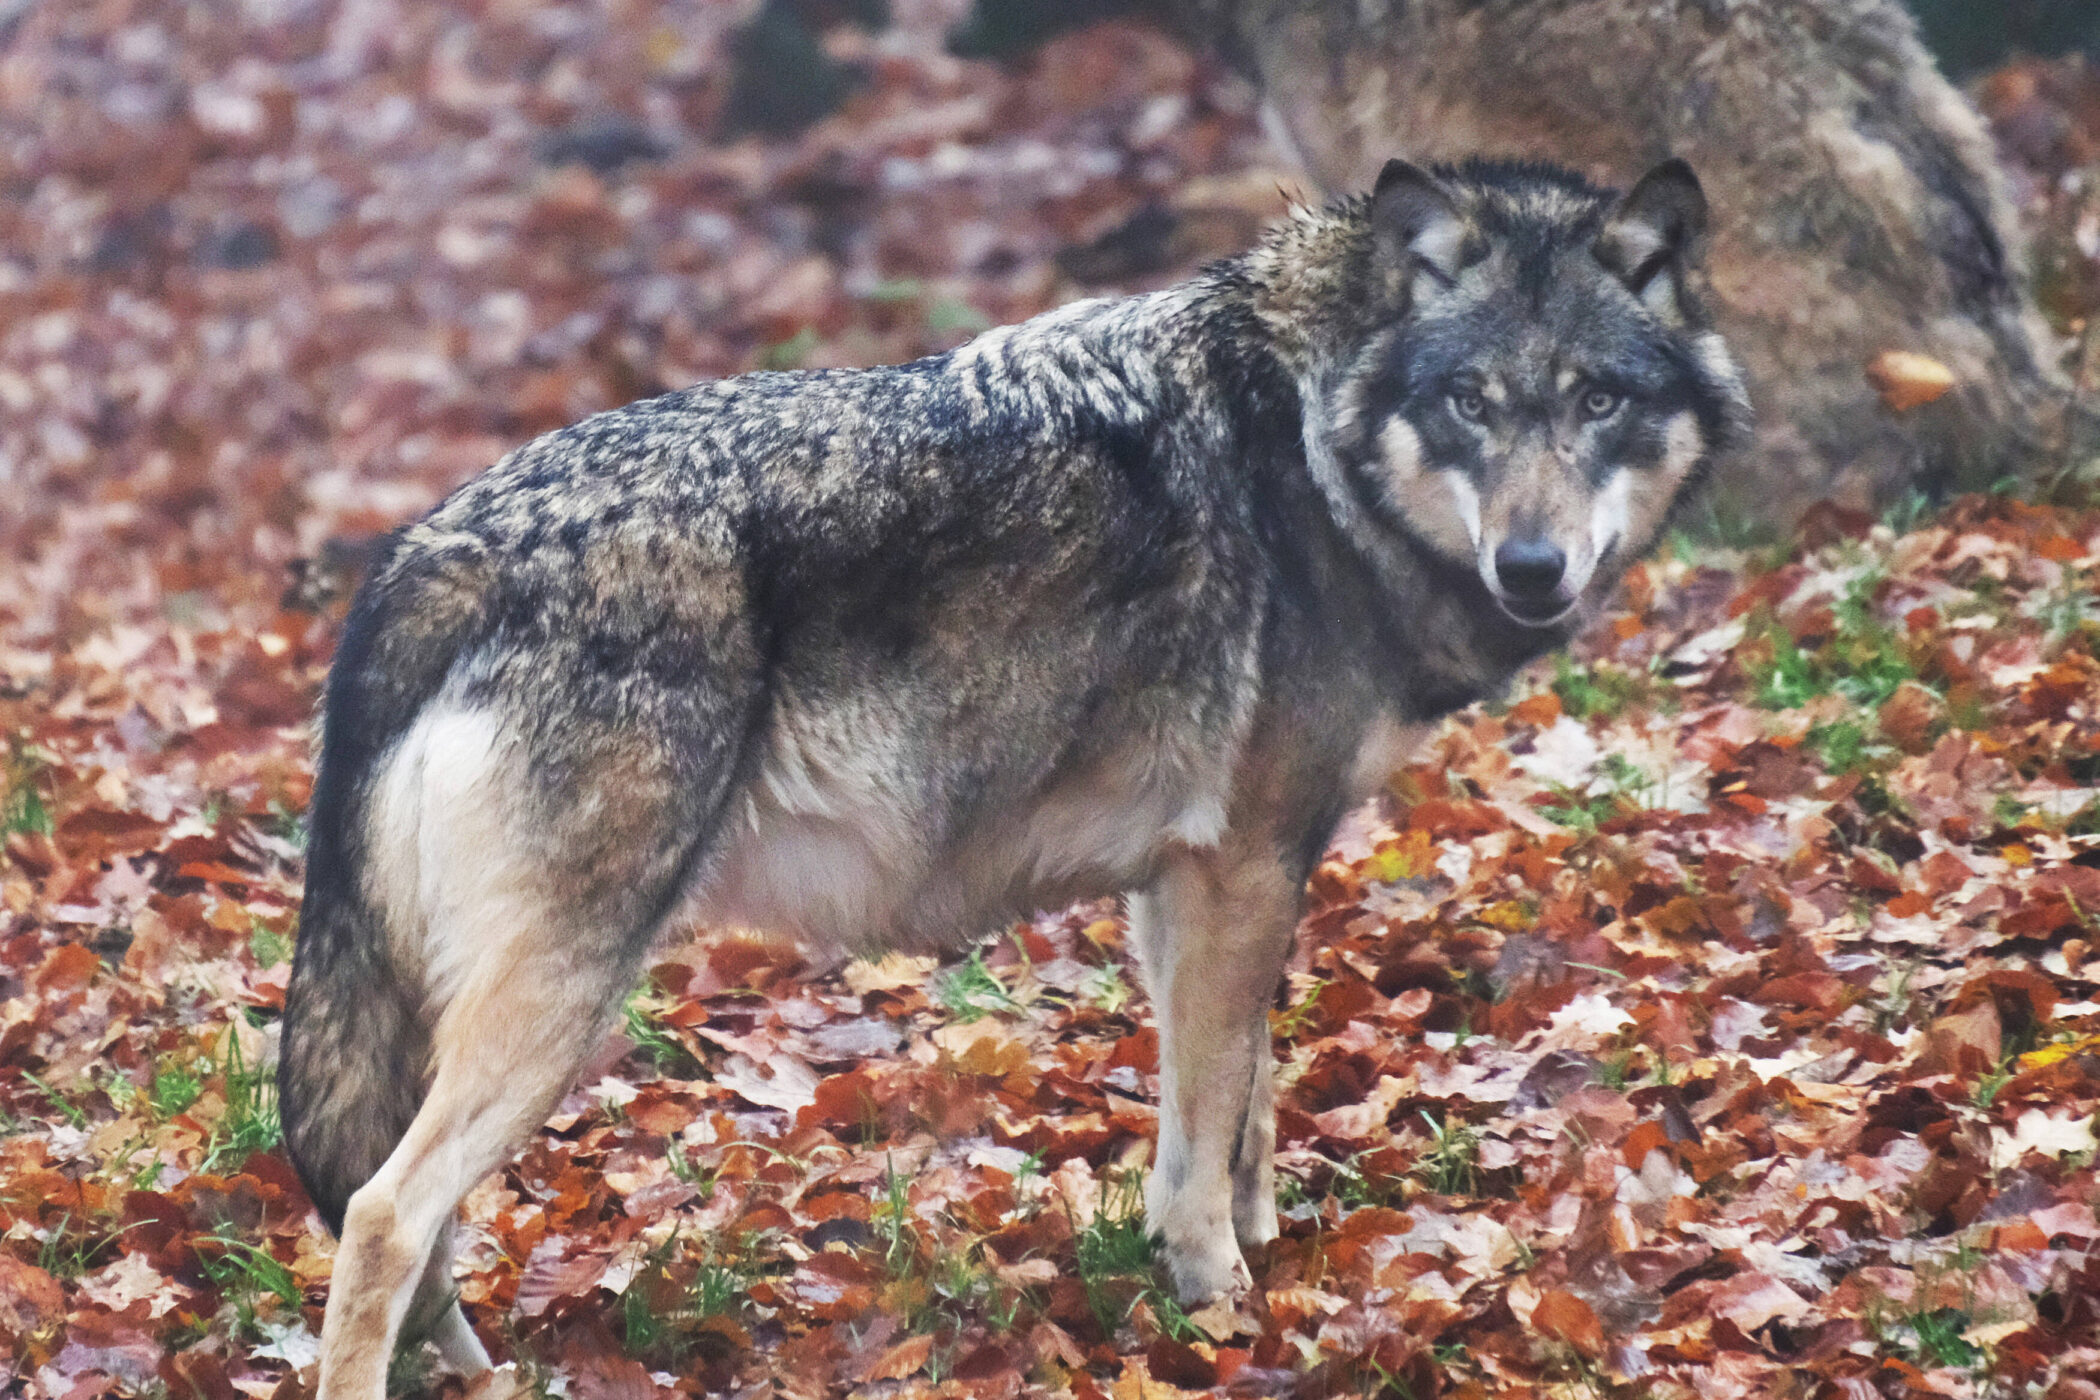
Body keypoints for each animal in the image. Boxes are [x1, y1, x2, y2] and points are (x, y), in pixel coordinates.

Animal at [279, 156, 1749, 1397]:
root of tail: (426, 553)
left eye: (1598, 402)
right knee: (384, 1215)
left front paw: (1250, 1254)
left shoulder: (1193, 880)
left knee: (415, 1222)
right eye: (1471, 404)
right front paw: (1225, 1307)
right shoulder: (1245, 867)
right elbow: (1210, 1119)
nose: (1532, 567)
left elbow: (1232, 1108)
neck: (1314, 456)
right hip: (563, 997)